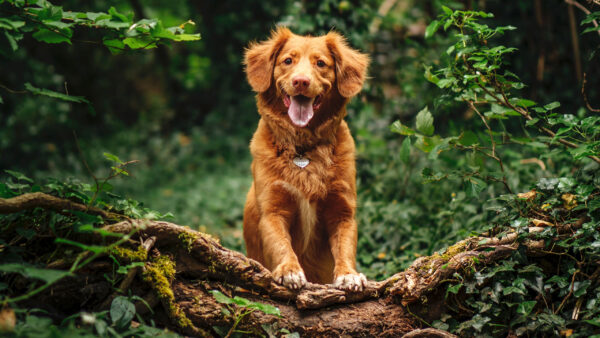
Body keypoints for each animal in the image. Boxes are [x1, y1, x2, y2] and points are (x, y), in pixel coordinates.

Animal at [241, 27, 368, 290]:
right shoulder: (273, 210)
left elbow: (345, 248)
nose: (301, 81)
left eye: (320, 63)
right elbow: (281, 244)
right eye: (288, 61)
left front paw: (348, 274)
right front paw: (289, 270)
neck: (303, 149)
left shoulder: (342, 211)